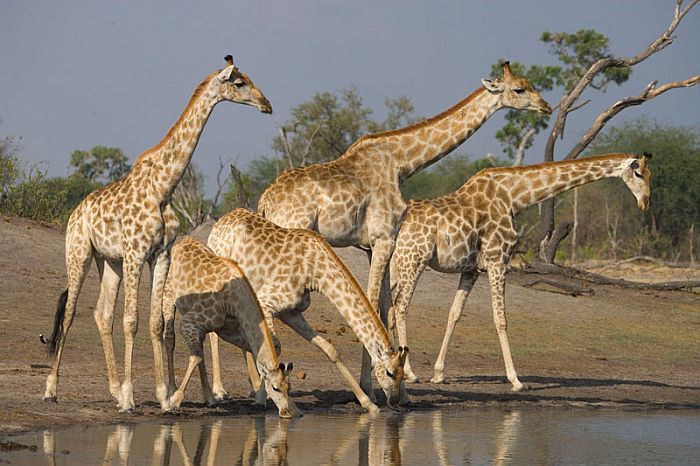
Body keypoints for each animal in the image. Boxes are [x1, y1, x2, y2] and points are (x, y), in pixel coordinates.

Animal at [43, 55, 272, 412]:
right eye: (239, 83)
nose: (266, 105)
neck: (163, 187)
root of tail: (76, 211)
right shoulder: (136, 253)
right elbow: (132, 320)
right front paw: (130, 397)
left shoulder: (159, 255)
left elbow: (157, 323)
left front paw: (163, 395)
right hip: (79, 252)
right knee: (69, 314)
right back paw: (52, 389)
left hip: (110, 262)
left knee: (102, 314)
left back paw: (112, 389)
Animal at [161, 236, 298, 418]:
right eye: (275, 388)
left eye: (289, 388)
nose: (285, 412)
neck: (234, 301)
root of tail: (182, 240)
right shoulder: (188, 323)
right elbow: (195, 357)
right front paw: (175, 400)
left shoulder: (230, 330)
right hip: (168, 297)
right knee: (170, 339)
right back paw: (171, 391)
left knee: (199, 350)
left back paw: (209, 398)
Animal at [205, 208, 409, 412]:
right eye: (390, 373)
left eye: (402, 376)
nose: (395, 402)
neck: (316, 273)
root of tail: (218, 225)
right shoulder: (265, 302)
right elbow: (275, 348)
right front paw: (267, 399)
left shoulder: (291, 313)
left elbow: (329, 349)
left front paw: (368, 403)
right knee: (214, 334)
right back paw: (219, 391)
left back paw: (253, 385)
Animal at [256, 61, 552, 396]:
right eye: (519, 89)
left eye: (530, 85)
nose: (546, 106)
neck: (401, 163)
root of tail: (265, 201)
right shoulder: (383, 238)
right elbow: (374, 304)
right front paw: (373, 384)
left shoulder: (374, 245)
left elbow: (384, 306)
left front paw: (398, 385)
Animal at [389, 152, 653, 388]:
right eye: (638, 173)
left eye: (651, 174)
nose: (645, 203)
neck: (515, 197)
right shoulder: (498, 260)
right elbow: (501, 319)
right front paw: (515, 379)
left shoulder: (472, 269)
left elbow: (454, 314)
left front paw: (438, 373)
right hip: (414, 259)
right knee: (401, 307)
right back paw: (410, 373)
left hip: (396, 264)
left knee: (388, 306)